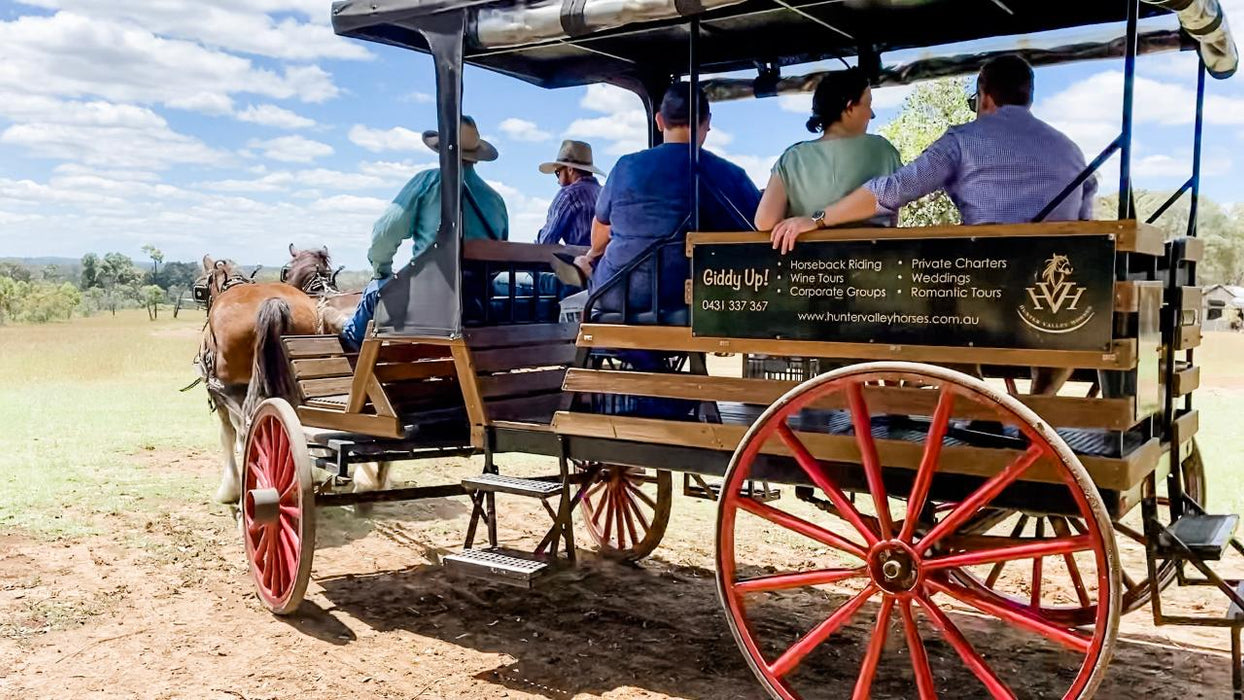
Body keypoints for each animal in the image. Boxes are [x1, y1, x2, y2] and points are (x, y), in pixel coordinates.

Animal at [196, 256, 318, 504]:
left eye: (201, 290)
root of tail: (275, 302)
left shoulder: (220, 393)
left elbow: (229, 435)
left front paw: (230, 489)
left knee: (247, 428)